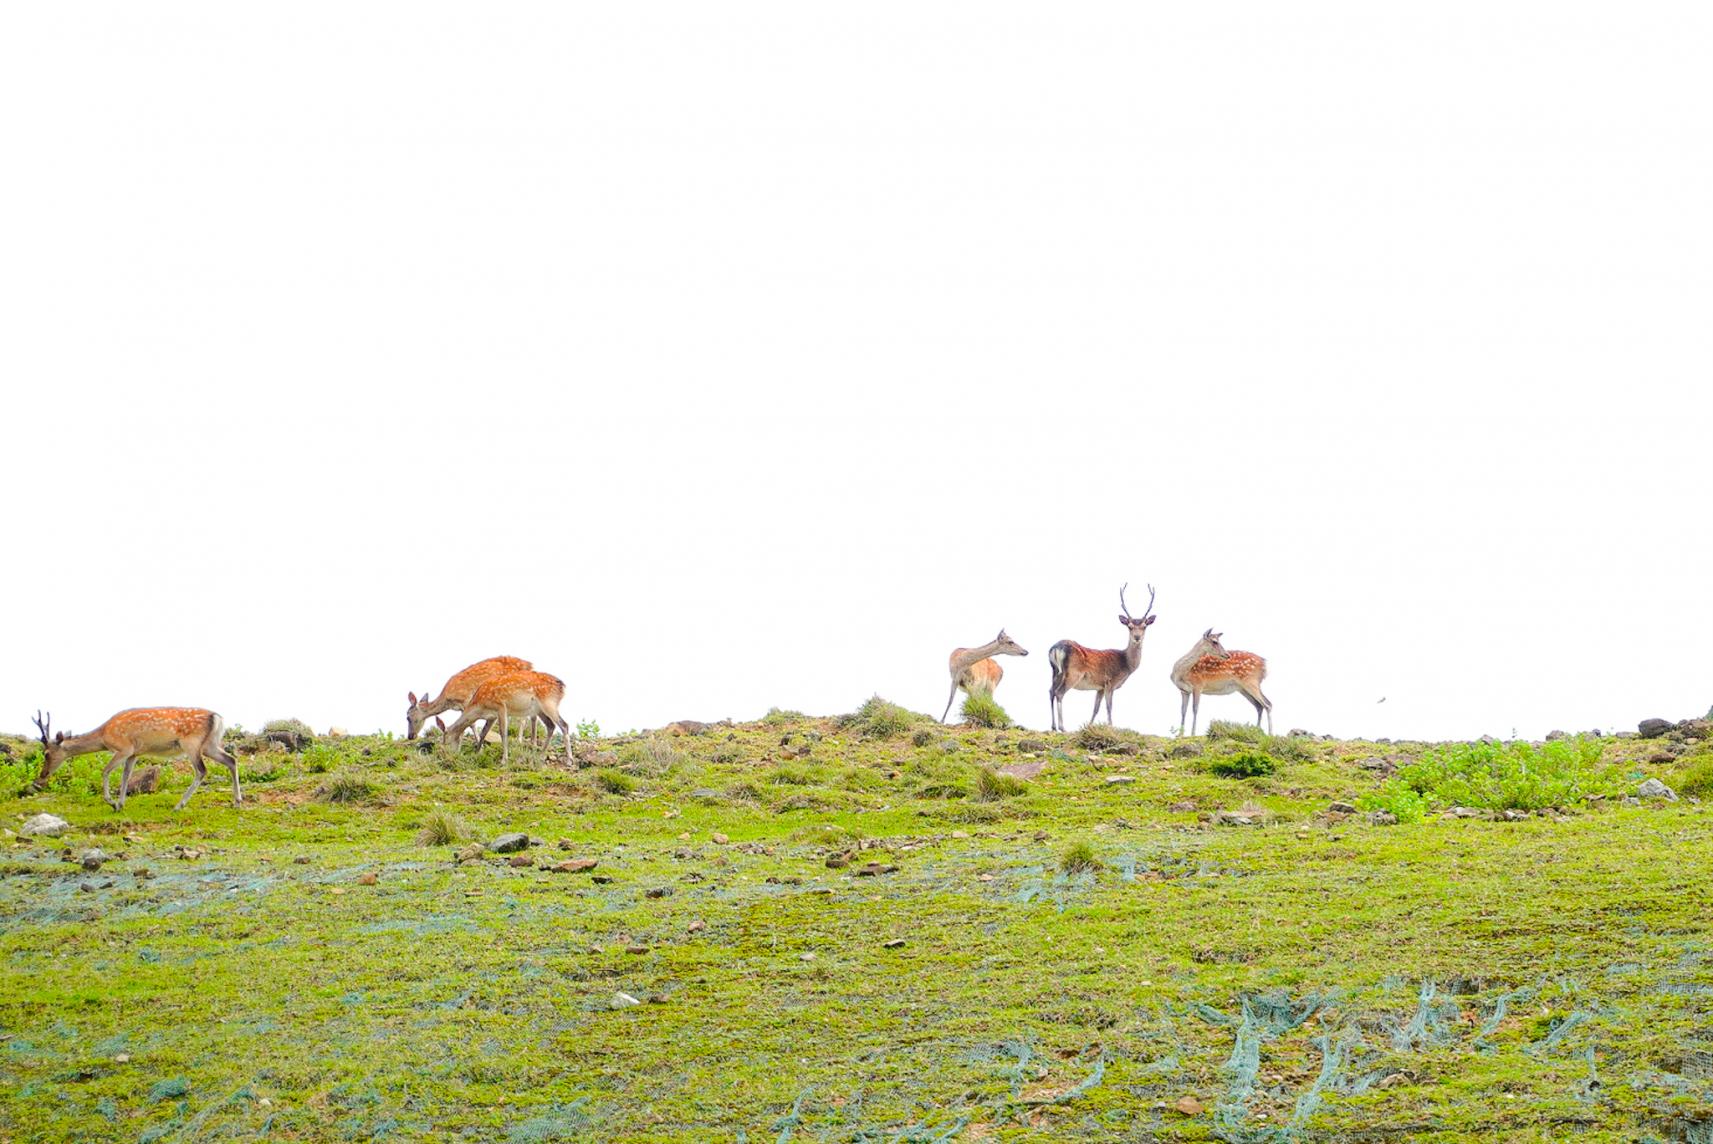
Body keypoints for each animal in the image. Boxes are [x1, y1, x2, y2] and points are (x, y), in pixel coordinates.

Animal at [31, 705, 244, 811]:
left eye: (47, 753)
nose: (42, 775)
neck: (103, 736)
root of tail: (218, 718)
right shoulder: (134, 753)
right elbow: (126, 775)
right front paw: (120, 804)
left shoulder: (124, 748)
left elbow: (106, 771)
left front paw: (111, 802)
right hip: (210, 745)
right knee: (231, 760)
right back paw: (237, 801)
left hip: (191, 744)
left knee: (202, 770)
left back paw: (179, 805)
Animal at [441, 664, 575, 763]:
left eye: (446, 741)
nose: (447, 757)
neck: (479, 705)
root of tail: (562, 686)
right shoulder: (492, 716)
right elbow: (484, 732)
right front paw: (477, 752)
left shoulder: (500, 706)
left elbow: (503, 732)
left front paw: (504, 760)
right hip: (539, 709)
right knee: (551, 726)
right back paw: (540, 755)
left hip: (549, 703)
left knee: (564, 725)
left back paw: (569, 759)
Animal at [1041, 582, 1164, 732]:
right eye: (1129, 626)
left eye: (1145, 626)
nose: (1137, 637)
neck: (1126, 664)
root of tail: (1055, 648)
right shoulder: (1110, 682)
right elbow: (1109, 707)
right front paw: (1111, 727)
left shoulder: (1099, 687)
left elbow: (1096, 708)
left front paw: (1089, 726)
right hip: (1073, 673)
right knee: (1059, 693)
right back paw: (1062, 727)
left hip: (1055, 671)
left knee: (1051, 691)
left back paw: (1053, 726)